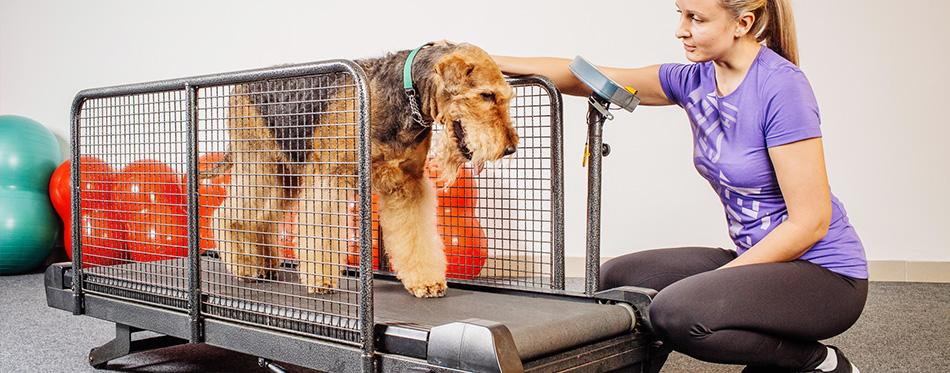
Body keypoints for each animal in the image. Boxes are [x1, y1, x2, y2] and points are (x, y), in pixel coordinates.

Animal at [205, 43, 520, 298]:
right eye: (486, 95)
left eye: (506, 97)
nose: (510, 149)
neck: (406, 95)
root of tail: (237, 87)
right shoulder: (330, 178)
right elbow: (323, 233)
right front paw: (321, 282)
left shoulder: (407, 184)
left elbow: (415, 238)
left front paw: (426, 281)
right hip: (260, 165)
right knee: (227, 215)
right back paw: (246, 268)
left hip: (285, 174)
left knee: (263, 220)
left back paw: (265, 265)